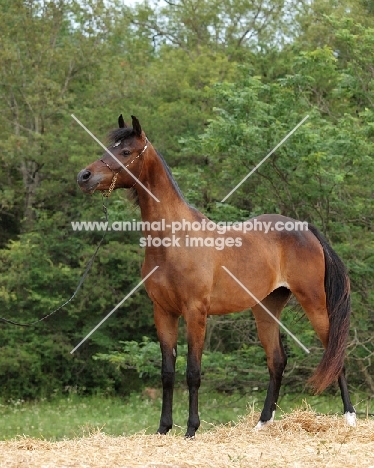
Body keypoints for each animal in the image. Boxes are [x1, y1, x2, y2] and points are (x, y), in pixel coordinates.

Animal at [76, 115, 356, 436]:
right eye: (109, 147)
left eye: (125, 152)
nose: (84, 176)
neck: (175, 240)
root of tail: (305, 228)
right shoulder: (163, 312)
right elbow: (167, 372)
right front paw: (163, 429)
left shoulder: (195, 312)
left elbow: (193, 372)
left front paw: (191, 429)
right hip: (266, 307)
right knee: (277, 361)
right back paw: (262, 423)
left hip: (314, 302)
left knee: (335, 354)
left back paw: (350, 417)